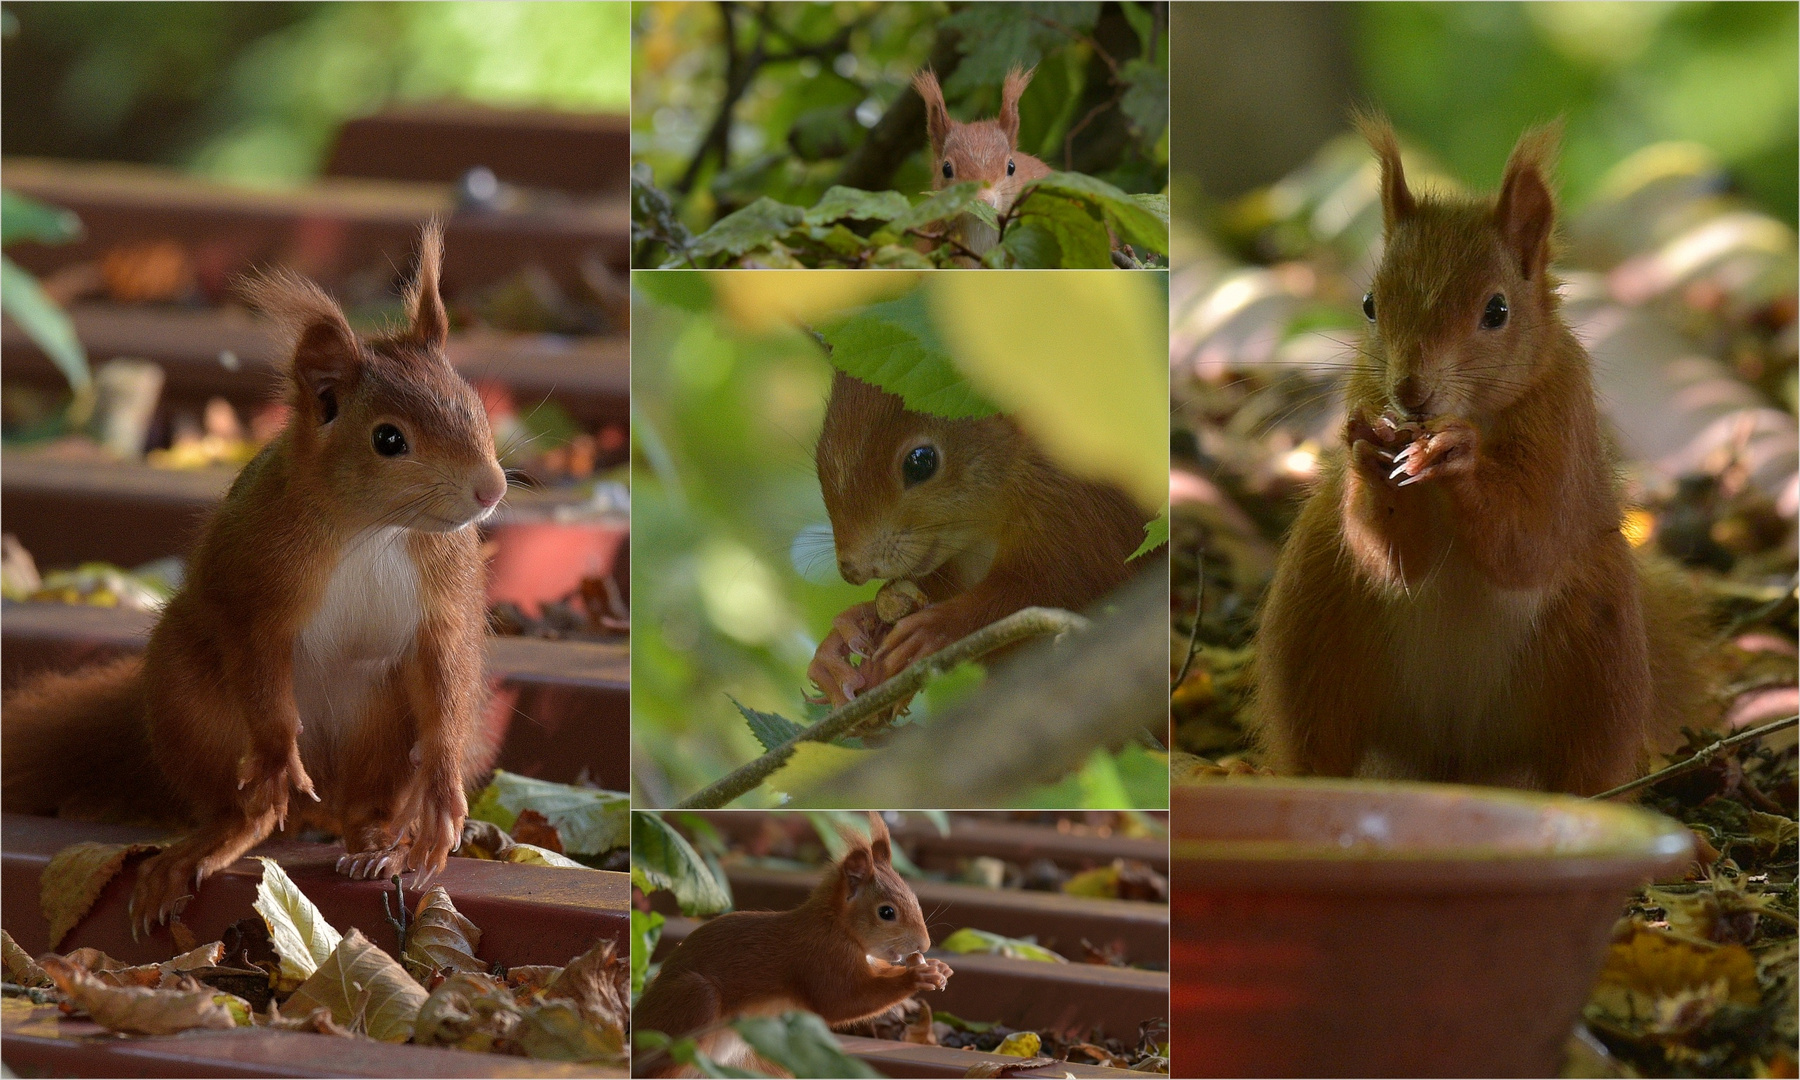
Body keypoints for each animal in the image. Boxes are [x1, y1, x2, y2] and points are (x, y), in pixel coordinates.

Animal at [5, 225, 507, 936]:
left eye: (475, 407)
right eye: (388, 439)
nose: (490, 488)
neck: (373, 531)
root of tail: (324, 811)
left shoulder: (448, 597)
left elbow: (446, 682)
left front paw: (442, 804)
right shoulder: (257, 585)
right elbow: (262, 668)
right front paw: (275, 759)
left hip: (380, 728)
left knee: (371, 805)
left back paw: (378, 847)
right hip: (189, 695)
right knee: (247, 810)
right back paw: (226, 835)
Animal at [633, 813, 950, 1072]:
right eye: (886, 912)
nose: (923, 945)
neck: (835, 925)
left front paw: (938, 967)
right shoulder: (821, 956)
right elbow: (843, 1000)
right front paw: (916, 976)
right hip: (693, 1003)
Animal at [806, 370, 1152, 709]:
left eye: (921, 461)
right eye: (819, 456)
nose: (852, 570)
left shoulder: (1080, 506)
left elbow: (1064, 585)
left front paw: (935, 628)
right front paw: (843, 638)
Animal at [1245, 117, 1706, 792]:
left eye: (1497, 310)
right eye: (1368, 304)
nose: (1410, 392)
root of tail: (1452, 765)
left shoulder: (1564, 433)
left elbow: (1529, 541)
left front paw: (1457, 456)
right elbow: (1397, 560)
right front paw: (1367, 454)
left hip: (1598, 657)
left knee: (1584, 763)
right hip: (1315, 620)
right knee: (1320, 741)